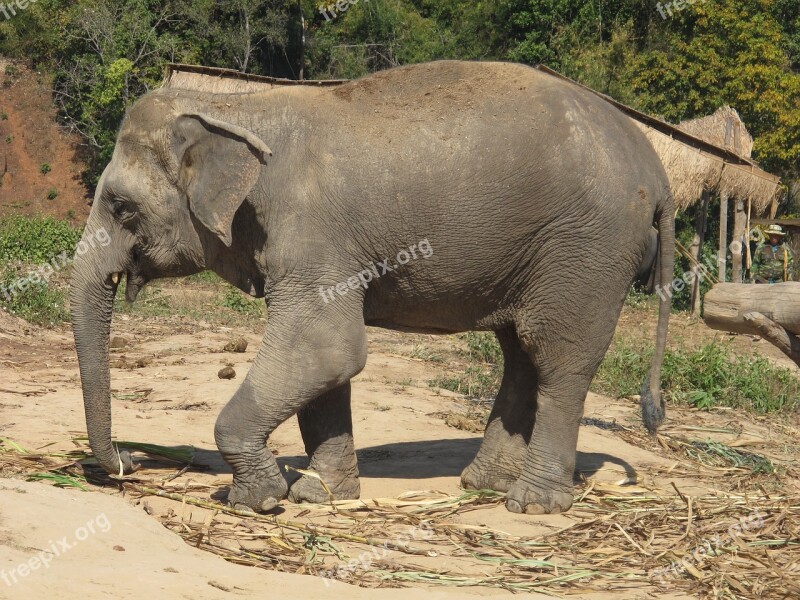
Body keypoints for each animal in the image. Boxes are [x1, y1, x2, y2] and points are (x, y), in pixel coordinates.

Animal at [69, 61, 672, 516]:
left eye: (121, 207)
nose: (127, 462)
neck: (237, 108)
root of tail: (658, 170)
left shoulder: (309, 233)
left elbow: (327, 348)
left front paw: (258, 499)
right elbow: (326, 366)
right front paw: (321, 495)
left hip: (588, 250)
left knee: (560, 362)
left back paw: (531, 503)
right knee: (520, 353)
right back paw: (482, 485)